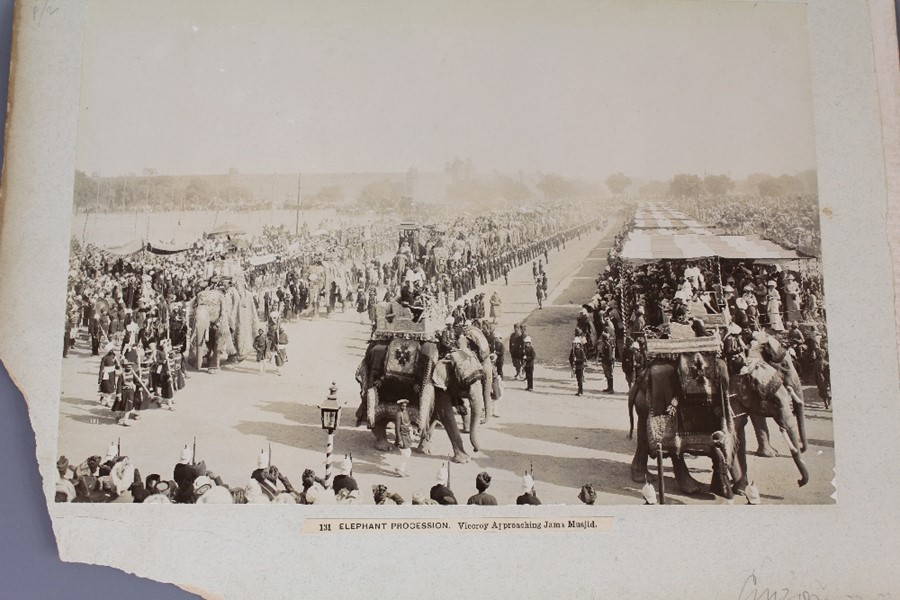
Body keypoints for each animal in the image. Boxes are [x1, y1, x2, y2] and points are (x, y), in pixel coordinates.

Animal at [628, 354, 812, 500]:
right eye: (774, 401)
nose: (799, 482)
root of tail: (642, 376)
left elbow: (738, 439)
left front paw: (740, 488)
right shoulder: (729, 401)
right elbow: (731, 438)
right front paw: (737, 489)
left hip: (644, 404)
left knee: (644, 436)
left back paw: (644, 478)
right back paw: (690, 488)